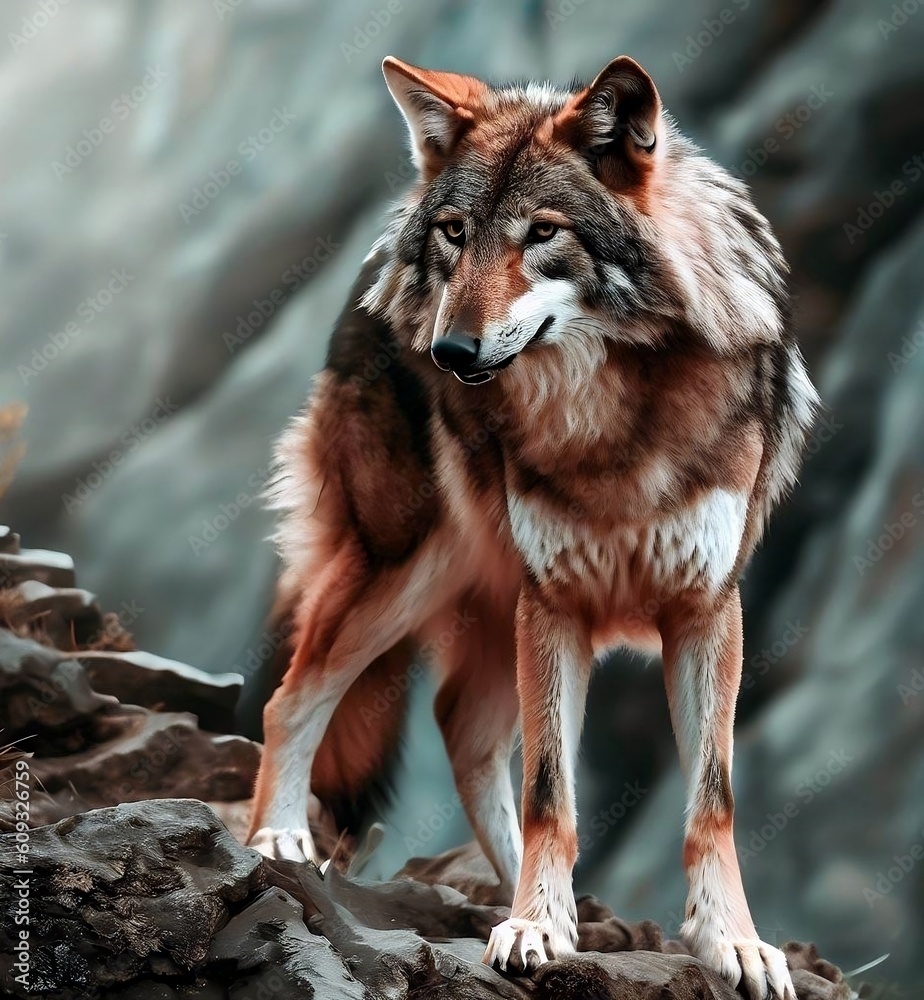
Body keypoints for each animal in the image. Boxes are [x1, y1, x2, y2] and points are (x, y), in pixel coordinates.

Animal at [247, 54, 818, 1000]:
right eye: (456, 233)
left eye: (543, 233)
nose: (450, 352)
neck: (611, 421)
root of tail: (378, 257)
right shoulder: (556, 602)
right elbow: (553, 789)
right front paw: (535, 927)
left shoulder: (705, 608)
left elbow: (712, 799)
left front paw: (731, 943)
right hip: (406, 570)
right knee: (296, 696)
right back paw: (277, 839)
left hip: (484, 600)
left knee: (459, 730)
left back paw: (562, 909)